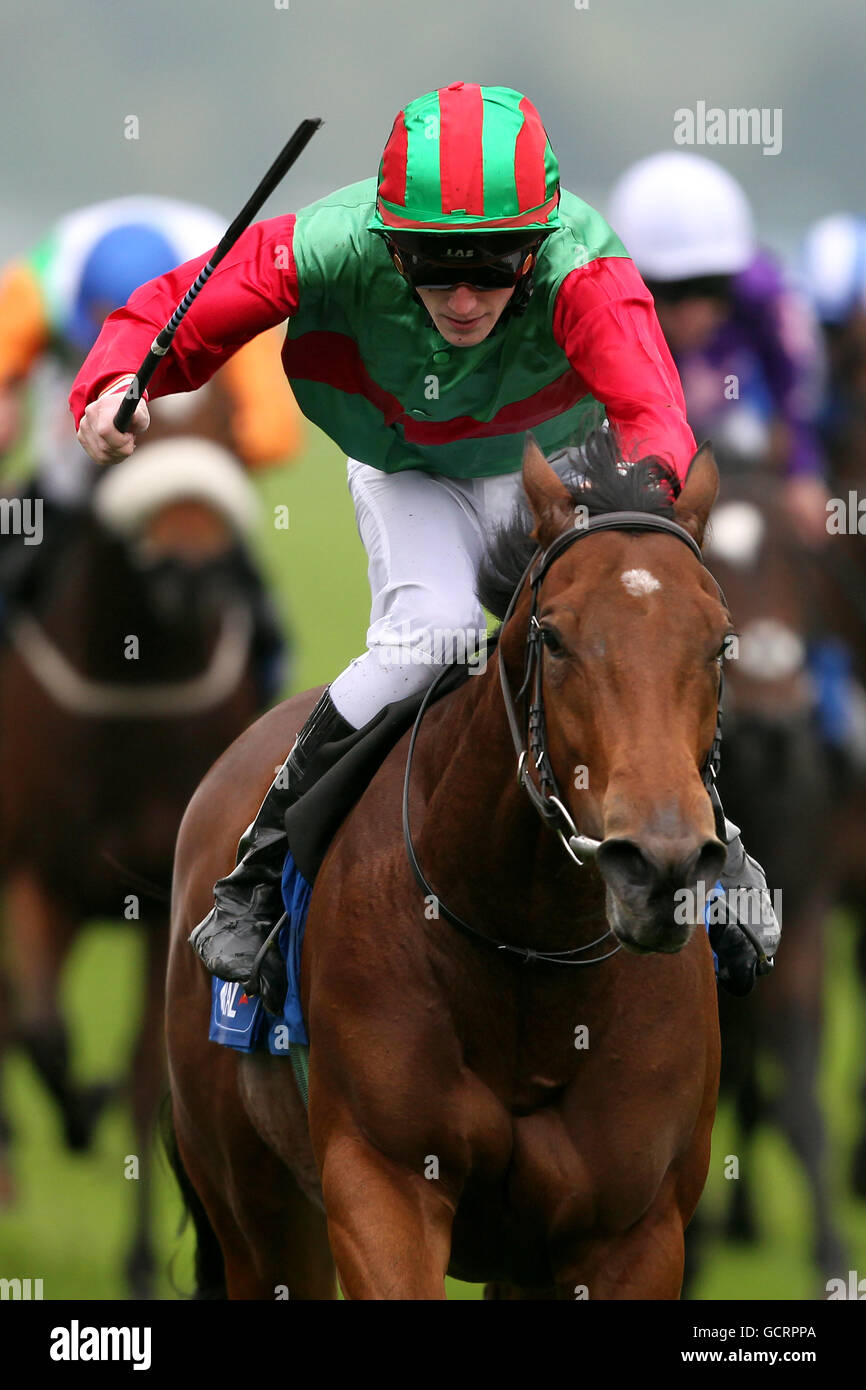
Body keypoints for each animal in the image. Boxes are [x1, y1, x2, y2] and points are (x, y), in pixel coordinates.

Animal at [0, 433, 269, 1289]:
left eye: (227, 425)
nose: (190, 573)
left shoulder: (163, 904)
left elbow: (148, 1066)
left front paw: (143, 1258)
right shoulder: (35, 877)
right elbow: (45, 1028)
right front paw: (79, 1109)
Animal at [164, 428, 733, 1295]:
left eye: (721, 641)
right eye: (554, 637)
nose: (660, 866)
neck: (529, 956)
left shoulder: (634, 1231)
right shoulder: (380, 1181)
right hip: (257, 1215)